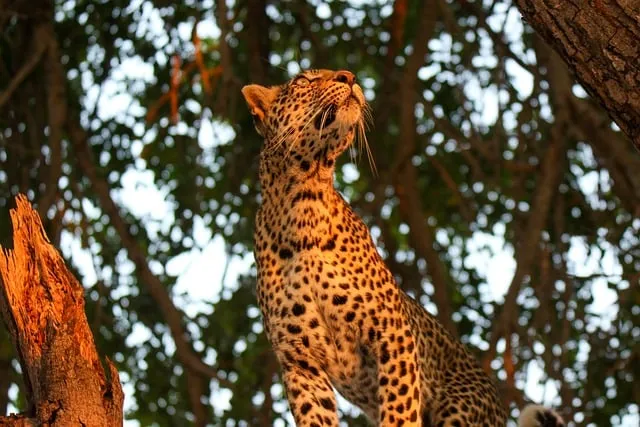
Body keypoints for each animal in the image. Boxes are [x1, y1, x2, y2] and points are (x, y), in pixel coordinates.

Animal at [241, 69, 565, 427]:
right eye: (304, 80)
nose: (349, 76)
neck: (301, 204)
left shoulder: (391, 332)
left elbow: (399, 409)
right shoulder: (301, 363)